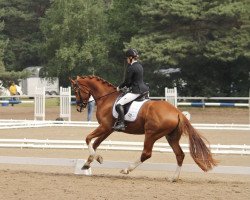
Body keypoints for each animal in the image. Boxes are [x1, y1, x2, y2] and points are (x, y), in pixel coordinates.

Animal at [70, 75, 217, 181]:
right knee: (179, 154)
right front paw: (88, 163)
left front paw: (95, 159)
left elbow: (88, 139)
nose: (79, 106)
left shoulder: (105, 126)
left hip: (151, 134)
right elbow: (95, 143)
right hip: (171, 137)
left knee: (146, 153)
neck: (106, 99)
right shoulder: (108, 129)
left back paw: (126, 169)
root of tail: (177, 112)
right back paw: (174, 178)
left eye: (76, 90)